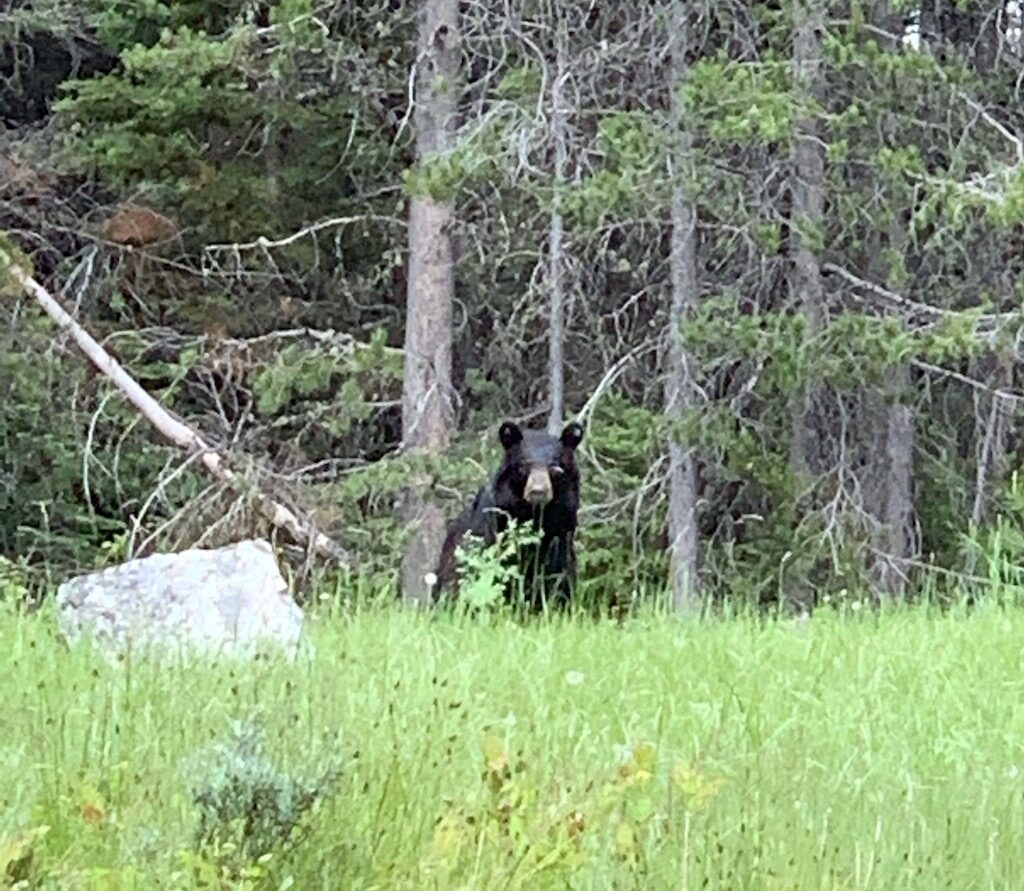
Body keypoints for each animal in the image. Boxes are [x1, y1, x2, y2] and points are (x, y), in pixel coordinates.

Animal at [434, 421, 585, 610]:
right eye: (523, 466)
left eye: (555, 468)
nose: (538, 491)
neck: (535, 515)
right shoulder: (496, 531)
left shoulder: (561, 533)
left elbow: (560, 579)